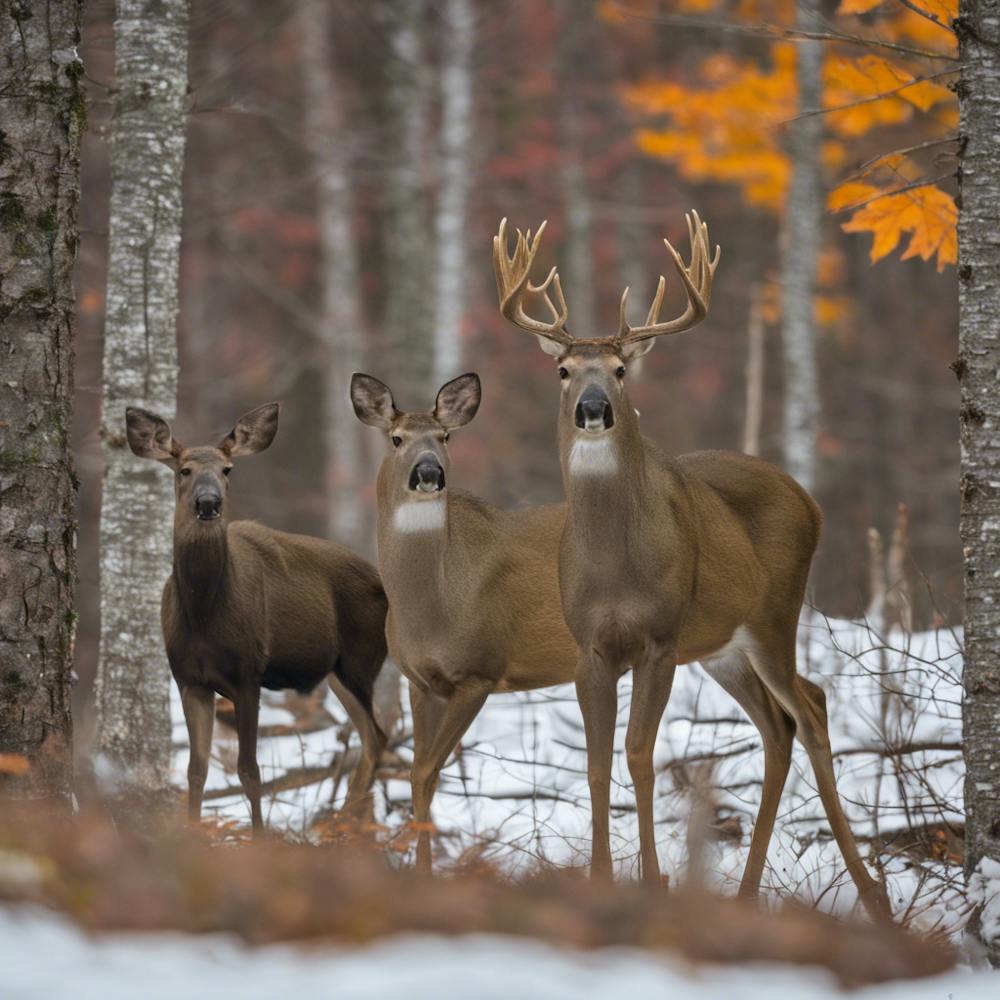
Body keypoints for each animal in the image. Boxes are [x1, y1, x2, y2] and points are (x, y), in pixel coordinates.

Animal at [124, 403, 389, 835]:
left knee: (377, 735)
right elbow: (196, 770)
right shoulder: (188, 680)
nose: (208, 502)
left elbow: (249, 770)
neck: (203, 617)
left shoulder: (248, 674)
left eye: (228, 469)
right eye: (183, 469)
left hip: (360, 661)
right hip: (338, 672)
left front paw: (260, 838)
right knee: (373, 737)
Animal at [350, 372, 579, 872]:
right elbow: (419, 775)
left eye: (445, 436)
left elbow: (427, 771)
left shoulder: (480, 669)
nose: (429, 472)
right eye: (396, 438)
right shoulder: (420, 680)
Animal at [492, 213, 891, 919]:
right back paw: (749, 891)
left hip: (772, 614)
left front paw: (652, 880)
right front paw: (600, 879)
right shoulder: (589, 646)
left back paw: (871, 895)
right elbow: (596, 762)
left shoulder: (660, 637)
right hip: (722, 647)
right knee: (781, 723)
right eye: (563, 370)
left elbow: (639, 754)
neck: (616, 568)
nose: (592, 408)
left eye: (621, 370)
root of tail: (809, 501)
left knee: (811, 711)